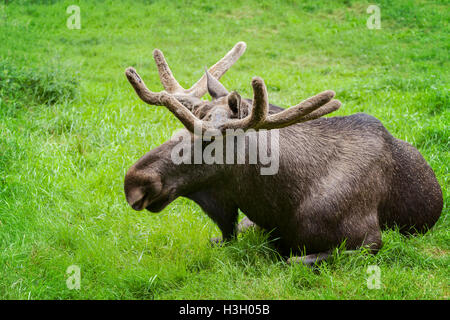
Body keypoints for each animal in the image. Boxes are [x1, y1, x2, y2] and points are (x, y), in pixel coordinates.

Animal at [123, 41, 442, 264]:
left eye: (209, 139)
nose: (134, 181)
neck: (281, 200)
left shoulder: (369, 241)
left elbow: (292, 260)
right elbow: (222, 239)